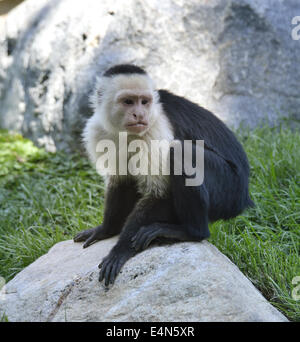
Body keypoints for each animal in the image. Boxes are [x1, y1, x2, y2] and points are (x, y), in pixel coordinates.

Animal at [73, 63, 253, 286]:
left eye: (144, 102)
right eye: (128, 102)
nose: (139, 114)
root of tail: (244, 196)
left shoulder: (155, 129)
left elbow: (160, 193)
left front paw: (120, 251)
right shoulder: (99, 131)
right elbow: (121, 181)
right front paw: (106, 229)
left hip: (229, 188)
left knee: (179, 151)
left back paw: (191, 232)